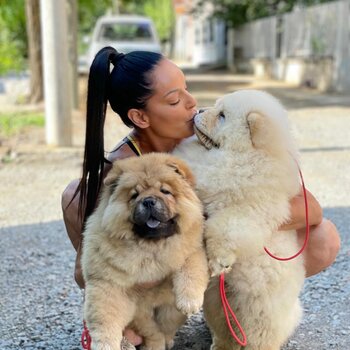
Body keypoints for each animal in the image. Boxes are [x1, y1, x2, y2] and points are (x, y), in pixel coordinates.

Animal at [175, 90, 306, 350]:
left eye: (222, 116)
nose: (198, 111)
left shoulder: (249, 211)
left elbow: (224, 229)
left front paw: (220, 262)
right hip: (217, 301)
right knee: (225, 330)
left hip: (259, 311)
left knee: (258, 337)